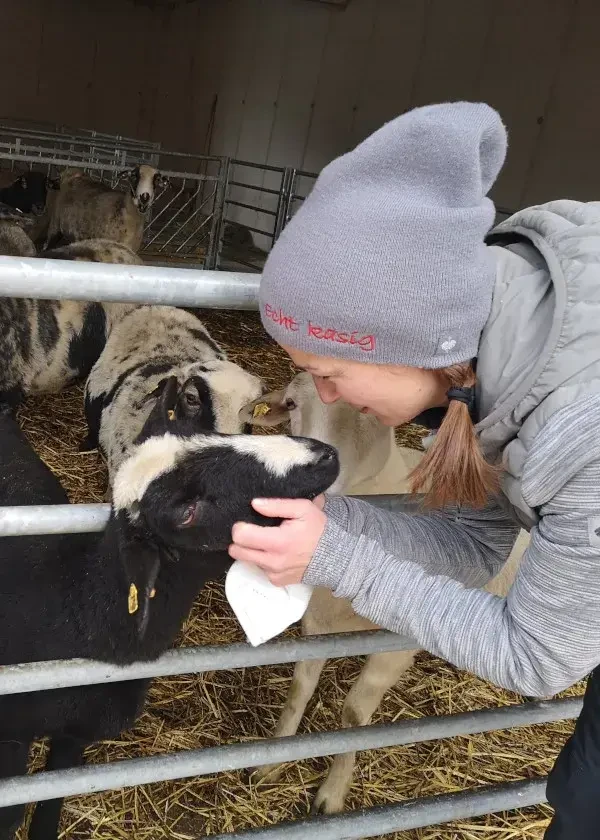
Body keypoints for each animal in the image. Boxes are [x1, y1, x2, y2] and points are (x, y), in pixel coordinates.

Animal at [0, 380, 338, 840]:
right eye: (186, 513)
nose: (323, 454)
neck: (75, 615)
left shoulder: (74, 736)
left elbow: (48, 810)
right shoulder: (11, 738)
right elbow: (12, 814)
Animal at [241, 372, 528, 812]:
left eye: (369, 411)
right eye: (290, 404)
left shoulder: (396, 646)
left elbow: (355, 716)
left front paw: (332, 794)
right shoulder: (317, 626)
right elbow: (298, 690)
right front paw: (272, 760)